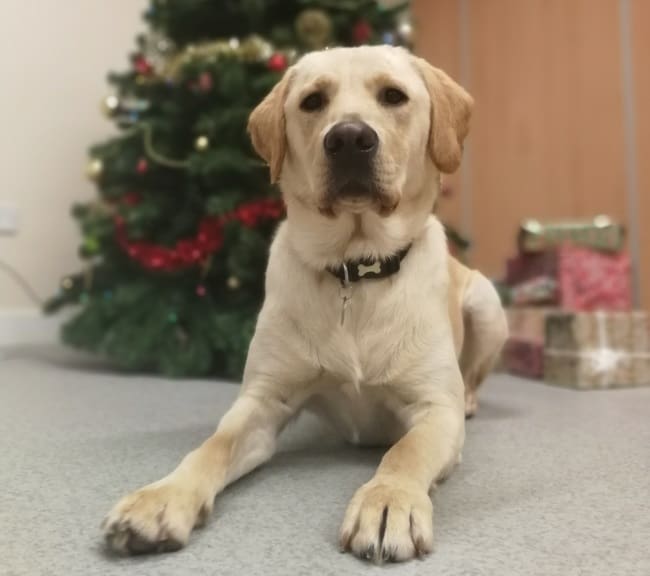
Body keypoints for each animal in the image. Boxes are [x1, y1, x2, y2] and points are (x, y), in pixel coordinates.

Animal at [102, 45, 506, 564]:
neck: (355, 268)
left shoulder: (435, 409)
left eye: (393, 96)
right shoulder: (263, 400)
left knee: (471, 377)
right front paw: (161, 498)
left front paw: (388, 502)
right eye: (313, 101)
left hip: (486, 303)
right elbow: (212, 446)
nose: (350, 138)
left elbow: (404, 452)